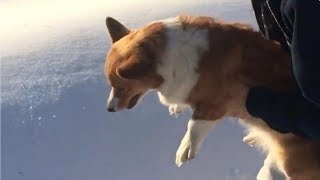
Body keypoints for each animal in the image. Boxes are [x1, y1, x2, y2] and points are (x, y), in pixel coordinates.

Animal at [104, 15, 320, 180]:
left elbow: (195, 125)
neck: (170, 57)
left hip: (290, 163)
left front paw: (185, 149)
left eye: (120, 87)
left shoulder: (217, 102)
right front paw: (176, 107)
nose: (109, 109)